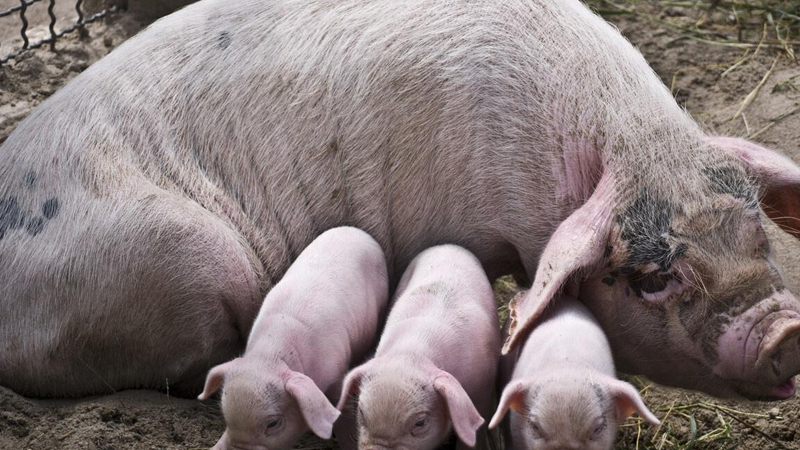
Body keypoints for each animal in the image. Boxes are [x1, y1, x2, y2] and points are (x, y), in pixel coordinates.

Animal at [198, 227, 390, 450]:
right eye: (226, 416)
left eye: (273, 423)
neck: (270, 357)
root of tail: (357, 231)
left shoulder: (336, 373)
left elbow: (338, 409)